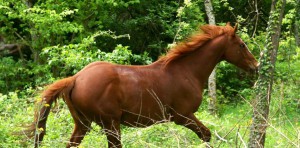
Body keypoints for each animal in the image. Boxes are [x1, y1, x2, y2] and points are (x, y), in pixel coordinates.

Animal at [24, 22, 258, 147]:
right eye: (241, 45)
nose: (256, 65)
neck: (186, 71)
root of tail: (75, 78)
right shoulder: (182, 116)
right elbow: (206, 134)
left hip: (83, 124)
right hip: (110, 124)